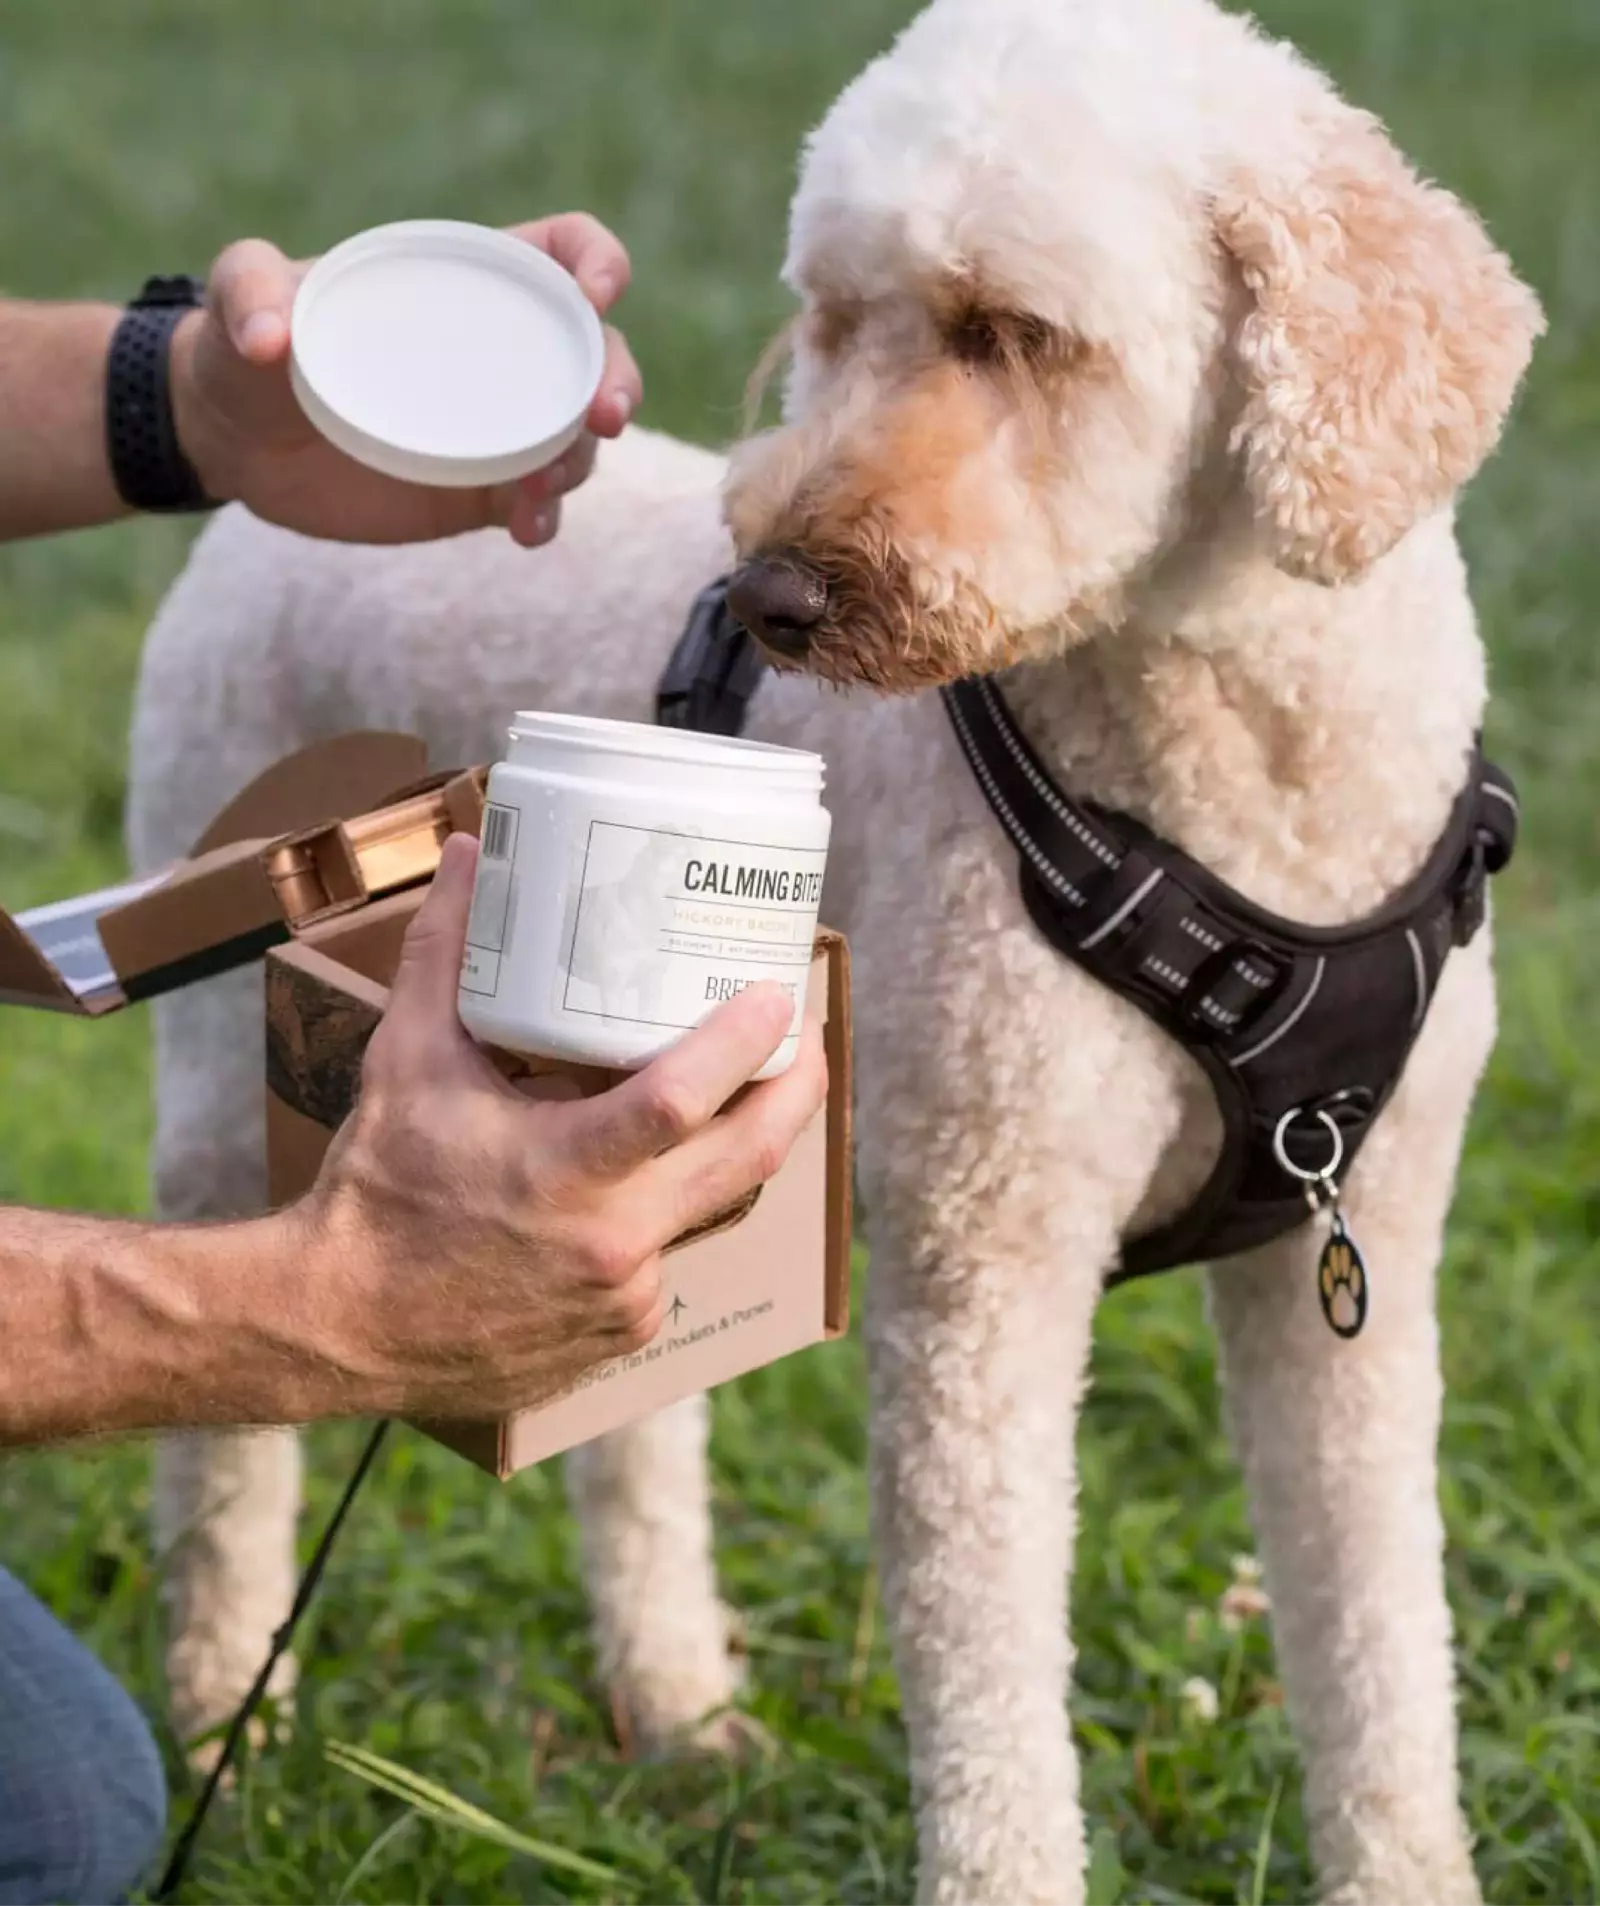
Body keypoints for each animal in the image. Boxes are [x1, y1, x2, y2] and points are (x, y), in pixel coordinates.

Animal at [131, 0, 1548, 1898]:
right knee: (226, 1446)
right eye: (835, 318)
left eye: (1014, 331)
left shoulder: (1355, 1254)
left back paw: (676, 1705)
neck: (1238, 783)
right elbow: (992, 1693)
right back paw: (229, 1714)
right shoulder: (982, 1270)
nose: (776, 597)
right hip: (222, 1074)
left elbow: (1384, 1651)